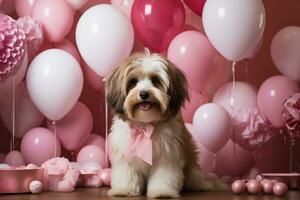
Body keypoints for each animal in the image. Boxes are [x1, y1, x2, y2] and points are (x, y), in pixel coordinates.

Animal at [106, 50, 226, 198]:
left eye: (155, 80)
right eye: (133, 82)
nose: (144, 94)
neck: (146, 125)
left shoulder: (168, 155)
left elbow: (164, 175)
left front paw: (162, 192)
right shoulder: (125, 154)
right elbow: (127, 173)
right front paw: (124, 190)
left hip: (192, 169)